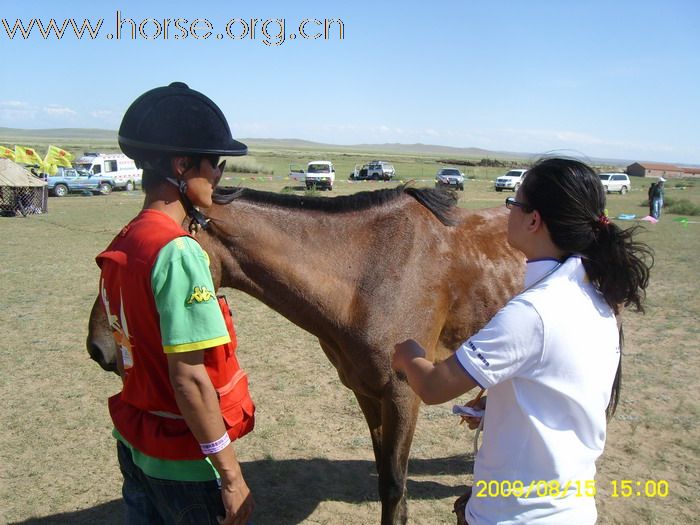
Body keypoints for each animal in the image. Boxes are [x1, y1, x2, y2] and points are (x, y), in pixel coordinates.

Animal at [86, 185, 524, 524]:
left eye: (149, 264)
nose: (98, 347)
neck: (370, 273)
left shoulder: (404, 396)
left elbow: (395, 485)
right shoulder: (368, 394)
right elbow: (385, 479)